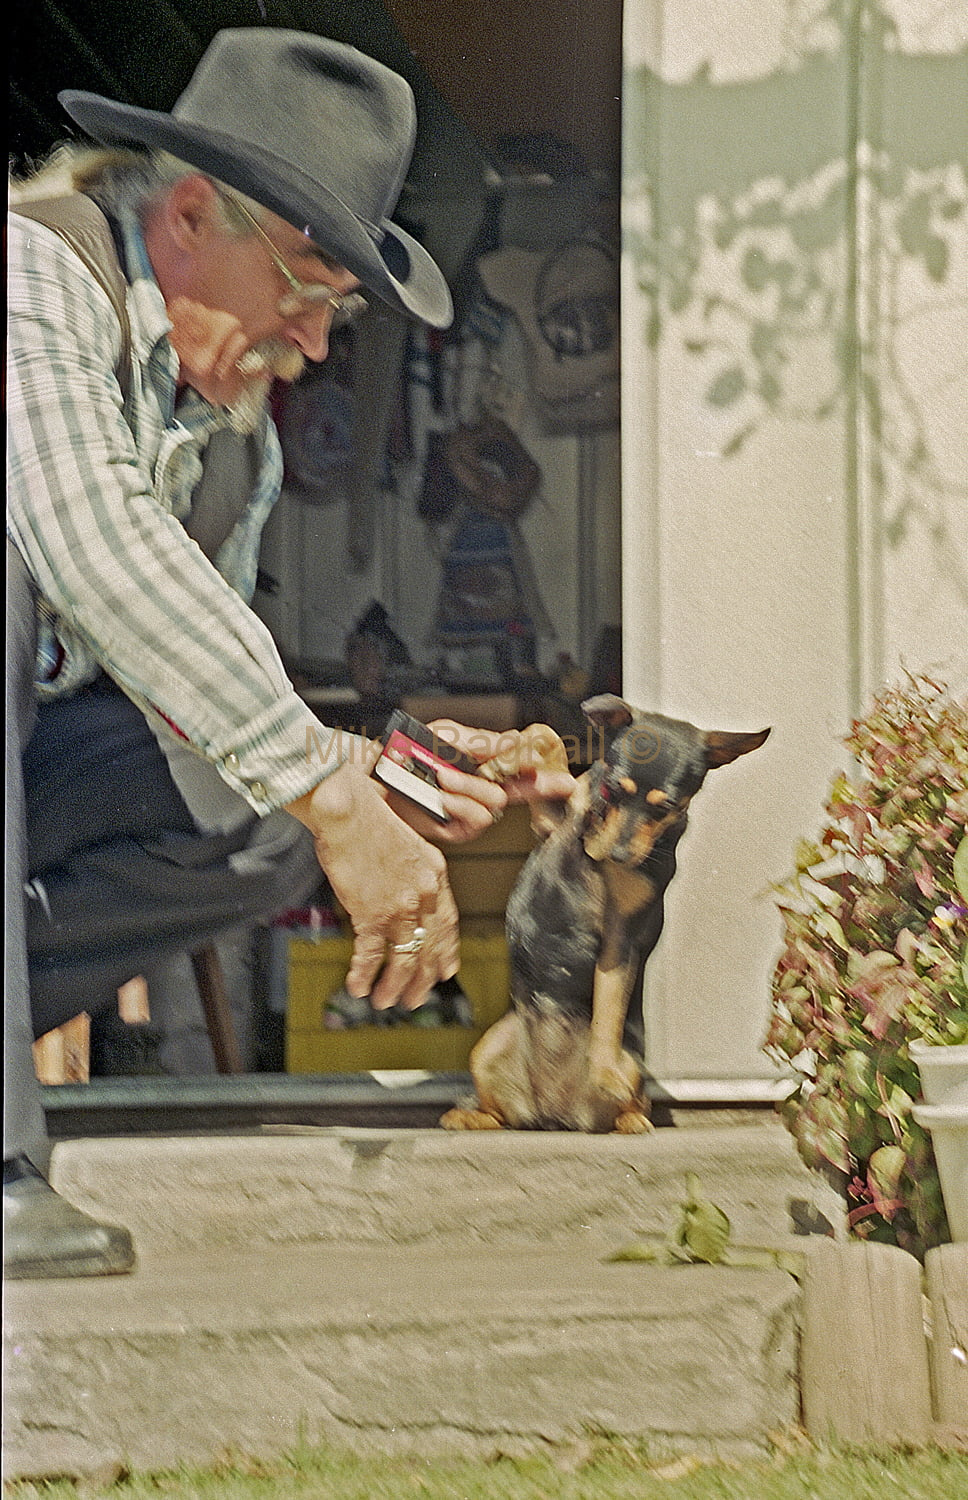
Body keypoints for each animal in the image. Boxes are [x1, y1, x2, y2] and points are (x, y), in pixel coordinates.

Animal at [441, 696, 765, 1128]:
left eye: (668, 807)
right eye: (612, 789)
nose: (620, 854)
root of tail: (554, 1116)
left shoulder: (620, 938)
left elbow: (607, 1012)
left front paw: (605, 1072)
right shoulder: (550, 822)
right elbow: (545, 736)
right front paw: (506, 762)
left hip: (632, 1069)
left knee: (632, 1100)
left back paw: (630, 1118)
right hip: (487, 1049)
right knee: (502, 1116)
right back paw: (469, 1118)